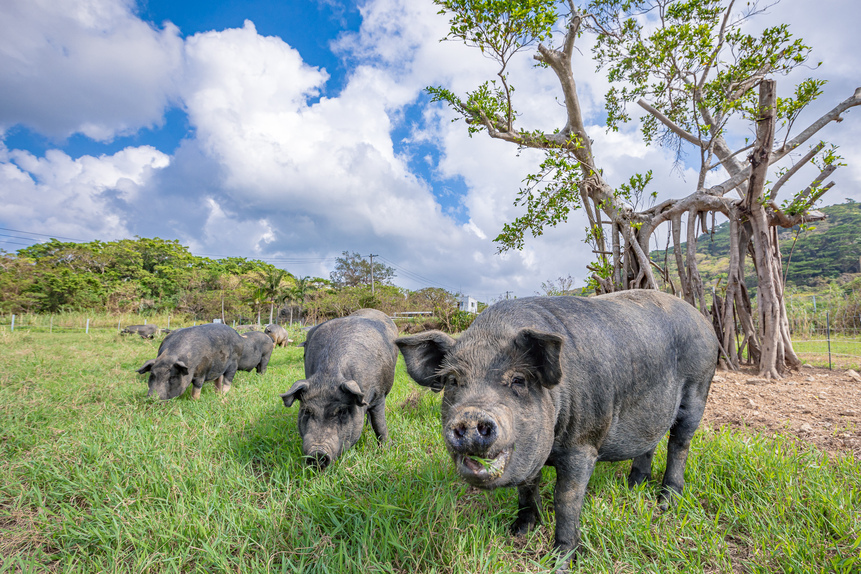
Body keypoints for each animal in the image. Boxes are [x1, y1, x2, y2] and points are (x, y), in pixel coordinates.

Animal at [280, 310, 398, 468]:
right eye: (307, 411)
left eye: (342, 411)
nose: (317, 453)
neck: (328, 376)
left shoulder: (379, 396)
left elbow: (380, 424)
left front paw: (386, 450)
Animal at [396, 292, 720, 564]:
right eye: (452, 381)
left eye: (518, 380)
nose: (471, 416)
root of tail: (705, 322)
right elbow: (527, 487)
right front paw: (518, 531)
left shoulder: (584, 444)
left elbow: (566, 498)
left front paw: (561, 560)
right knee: (650, 443)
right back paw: (633, 486)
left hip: (699, 386)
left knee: (680, 443)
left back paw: (666, 502)